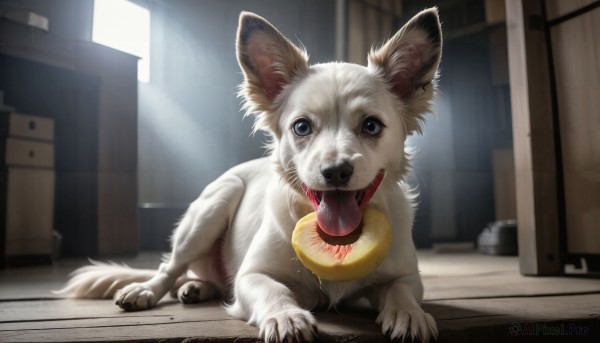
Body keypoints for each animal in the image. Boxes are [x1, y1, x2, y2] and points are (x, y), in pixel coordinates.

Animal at [57, 8, 440, 343]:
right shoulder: (252, 275)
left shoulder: (408, 276)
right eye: (302, 127)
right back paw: (146, 290)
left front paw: (409, 314)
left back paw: (196, 287)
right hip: (212, 207)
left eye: (371, 125)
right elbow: (274, 289)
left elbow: (401, 291)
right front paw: (286, 316)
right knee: (170, 268)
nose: (335, 171)